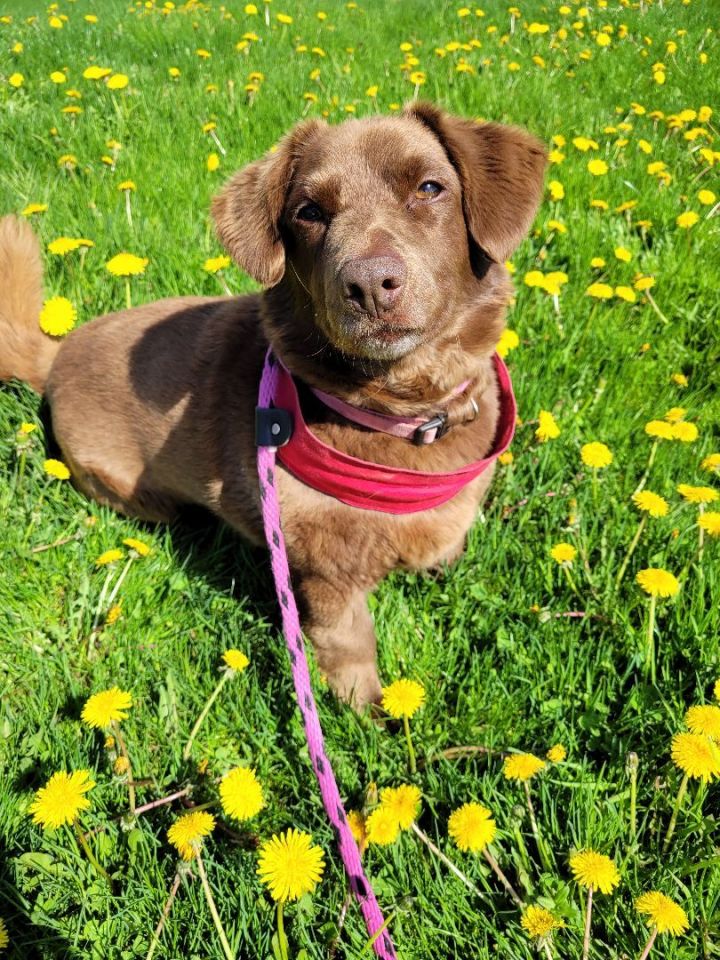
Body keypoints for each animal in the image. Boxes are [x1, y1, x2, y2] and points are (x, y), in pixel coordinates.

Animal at [0, 103, 544, 704]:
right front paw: (368, 709)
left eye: (430, 187)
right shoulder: (326, 576)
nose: (369, 284)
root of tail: (56, 352)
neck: (401, 415)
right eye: (309, 212)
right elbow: (349, 645)